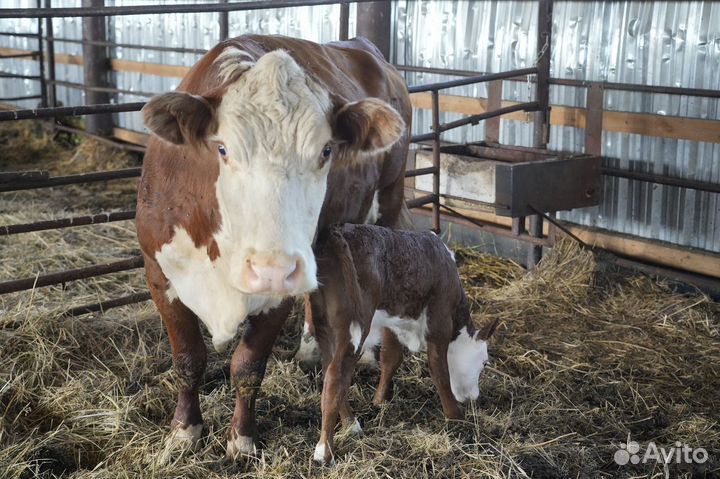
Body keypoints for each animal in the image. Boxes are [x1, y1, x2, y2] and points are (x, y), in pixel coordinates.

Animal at [136, 34, 411, 457]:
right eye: (222, 149)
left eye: (326, 151)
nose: (273, 269)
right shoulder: (158, 272)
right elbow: (187, 358)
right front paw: (184, 431)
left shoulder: (278, 294)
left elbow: (248, 365)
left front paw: (241, 439)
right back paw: (311, 348)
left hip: (386, 205)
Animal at [309, 224, 500, 464]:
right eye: (484, 363)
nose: (474, 398)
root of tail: (335, 233)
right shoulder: (439, 317)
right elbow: (439, 370)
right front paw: (455, 416)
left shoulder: (393, 321)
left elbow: (391, 358)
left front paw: (380, 400)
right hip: (354, 326)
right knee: (336, 375)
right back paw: (325, 450)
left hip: (323, 324)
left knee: (328, 369)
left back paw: (351, 424)